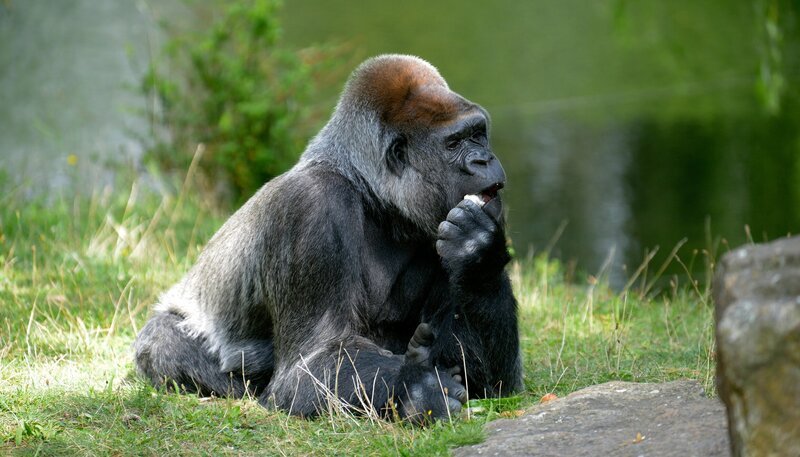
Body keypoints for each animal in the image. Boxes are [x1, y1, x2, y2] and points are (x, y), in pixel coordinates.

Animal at [134, 54, 522, 423]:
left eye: (478, 133)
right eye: (454, 143)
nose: (483, 159)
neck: (371, 193)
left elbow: (484, 375)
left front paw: (478, 256)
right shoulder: (310, 208)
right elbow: (310, 363)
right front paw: (415, 388)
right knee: (164, 340)